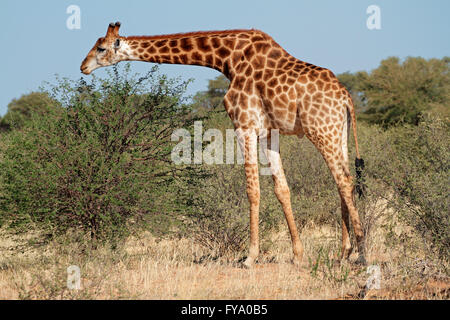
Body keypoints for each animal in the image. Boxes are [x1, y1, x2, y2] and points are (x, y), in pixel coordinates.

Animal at [81, 21, 368, 268]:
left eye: (101, 48)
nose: (83, 66)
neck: (226, 59)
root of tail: (346, 97)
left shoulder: (244, 124)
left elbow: (253, 190)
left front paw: (250, 257)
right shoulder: (269, 131)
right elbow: (282, 189)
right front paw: (298, 256)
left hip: (321, 130)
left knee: (344, 180)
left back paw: (362, 252)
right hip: (338, 132)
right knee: (342, 180)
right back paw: (343, 252)